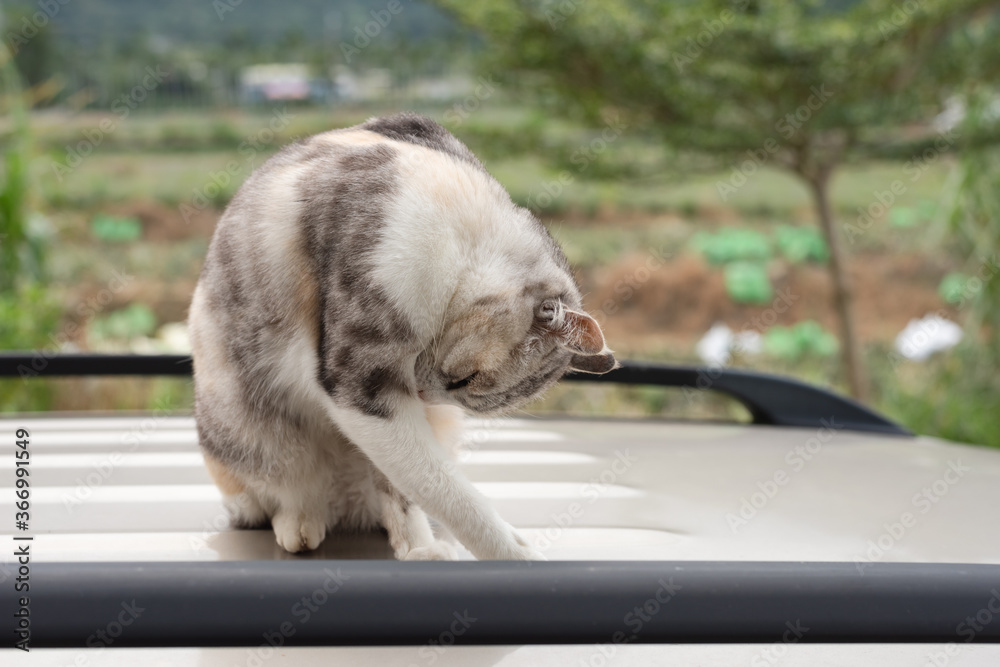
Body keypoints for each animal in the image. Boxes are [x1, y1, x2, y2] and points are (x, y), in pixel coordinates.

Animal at [186, 112, 616, 560]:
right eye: (464, 380)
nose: (423, 395)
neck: (462, 228)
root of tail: (346, 508)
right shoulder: (361, 386)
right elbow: (447, 491)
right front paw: (513, 553)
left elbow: (411, 487)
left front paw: (418, 546)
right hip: (247, 429)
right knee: (276, 493)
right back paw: (300, 522)